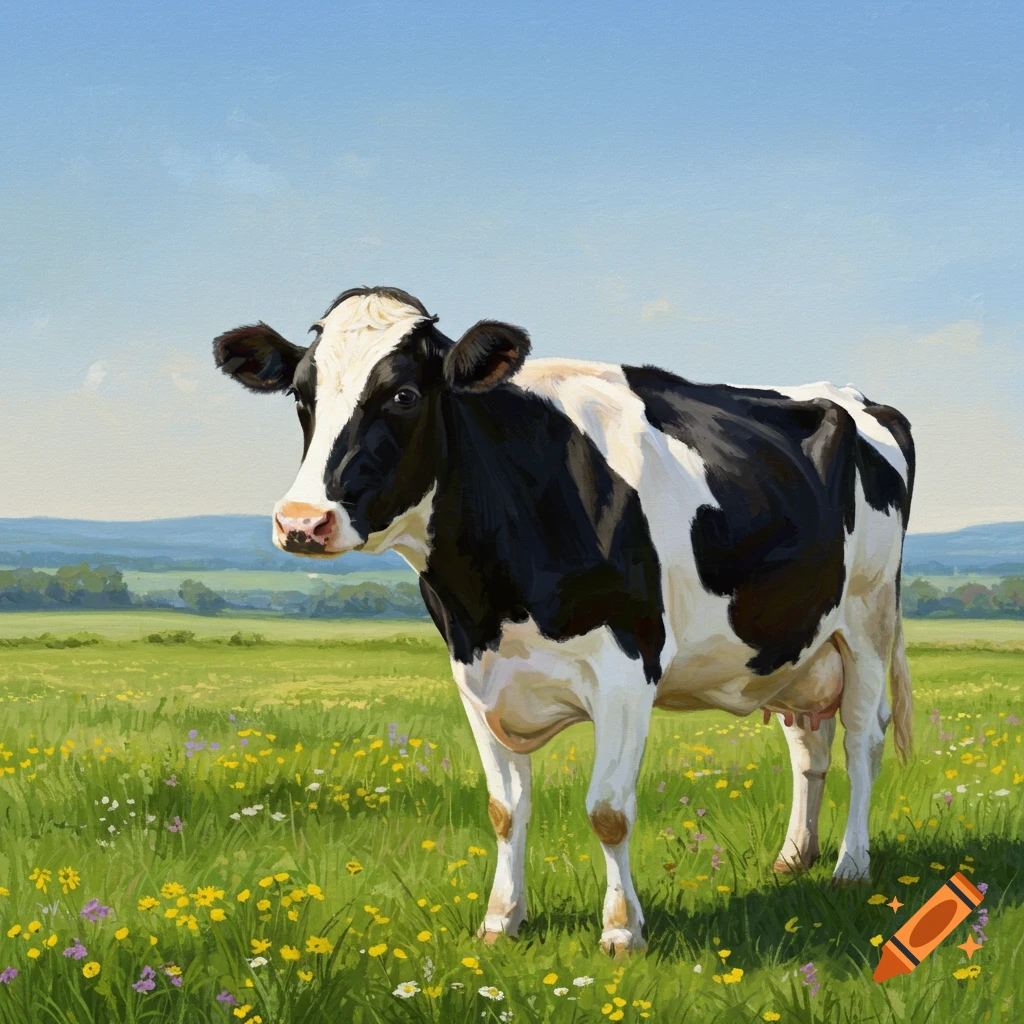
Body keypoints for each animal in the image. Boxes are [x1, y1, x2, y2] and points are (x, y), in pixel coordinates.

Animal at [213, 286, 914, 954]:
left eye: (404, 394)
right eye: (301, 395)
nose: (301, 522)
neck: (495, 601)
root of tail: (852, 397)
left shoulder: (628, 672)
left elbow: (608, 811)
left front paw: (621, 932)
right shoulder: (475, 675)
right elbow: (504, 809)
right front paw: (501, 922)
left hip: (867, 622)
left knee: (861, 739)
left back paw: (850, 866)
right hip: (797, 645)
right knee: (807, 745)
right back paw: (795, 857)